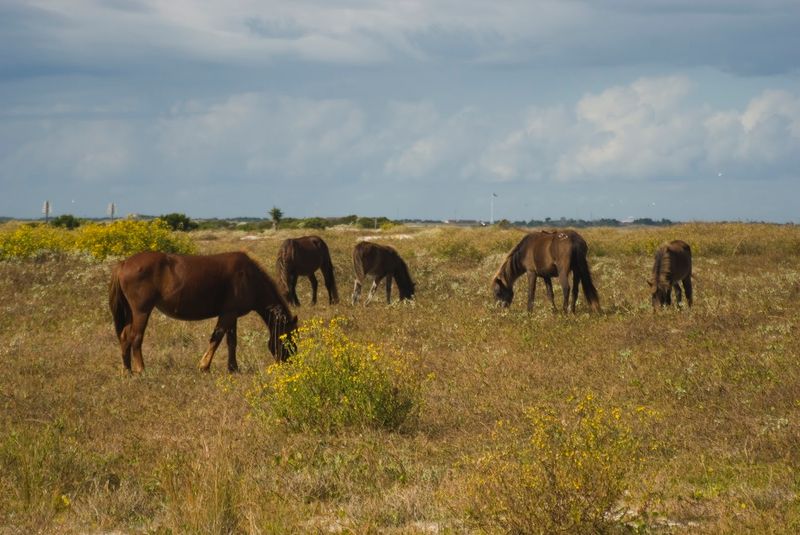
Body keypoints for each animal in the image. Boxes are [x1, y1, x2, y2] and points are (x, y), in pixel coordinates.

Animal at [109, 251, 298, 373]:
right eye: (289, 339)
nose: (290, 363)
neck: (249, 278)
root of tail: (124, 263)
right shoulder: (227, 314)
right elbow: (216, 338)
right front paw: (204, 366)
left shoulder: (232, 315)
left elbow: (231, 342)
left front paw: (233, 368)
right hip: (141, 311)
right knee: (136, 338)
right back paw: (141, 370)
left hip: (131, 313)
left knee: (125, 336)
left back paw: (127, 371)